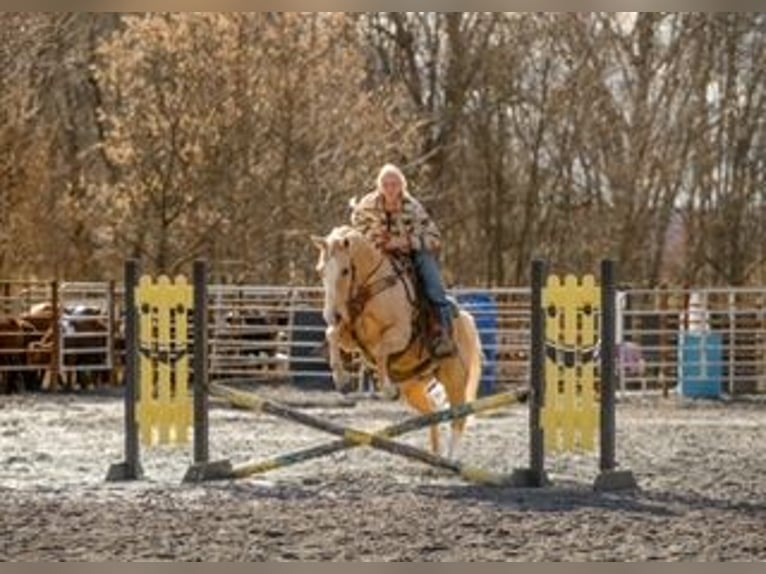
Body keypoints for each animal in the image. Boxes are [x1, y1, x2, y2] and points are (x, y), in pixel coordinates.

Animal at [311, 225, 483, 458]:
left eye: (345, 271)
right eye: (321, 271)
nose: (331, 315)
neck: (372, 286)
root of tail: (465, 319)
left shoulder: (400, 334)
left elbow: (381, 351)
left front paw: (387, 389)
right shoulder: (349, 336)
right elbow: (332, 335)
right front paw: (341, 379)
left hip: (454, 379)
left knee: (458, 419)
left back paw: (451, 459)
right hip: (413, 387)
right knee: (433, 411)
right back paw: (435, 456)